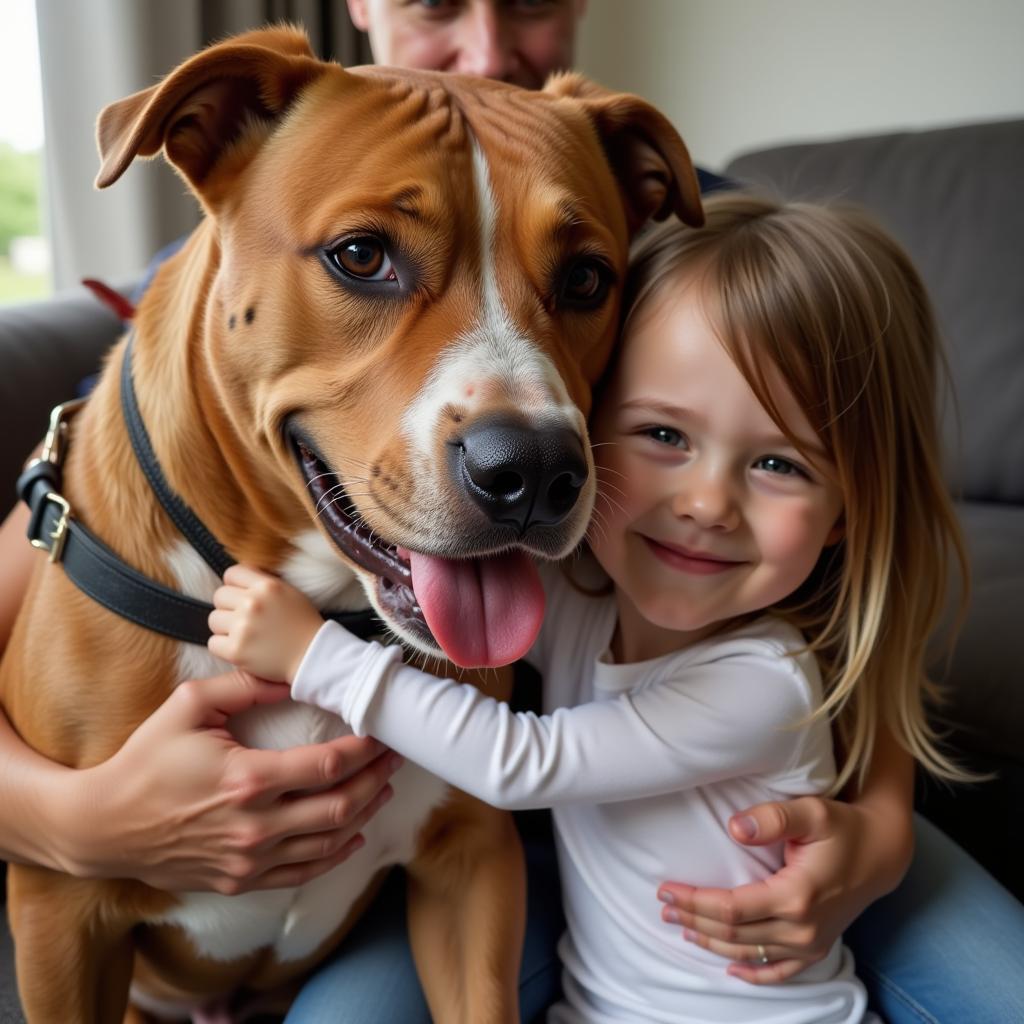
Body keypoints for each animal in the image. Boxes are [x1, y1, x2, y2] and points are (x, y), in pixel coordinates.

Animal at [0, 24, 704, 1024]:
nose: (532, 472)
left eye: (586, 277)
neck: (308, 615)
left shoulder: (473, 864)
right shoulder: (61, 910)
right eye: (363, 257)